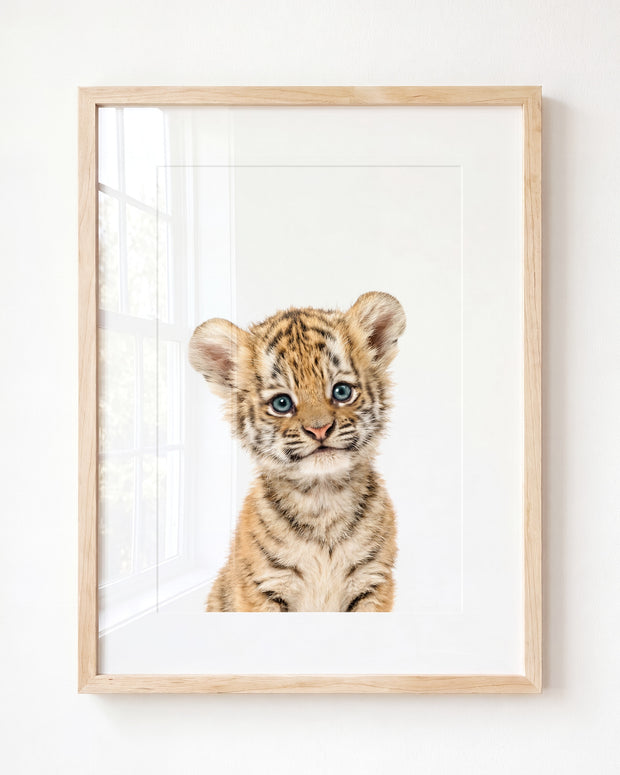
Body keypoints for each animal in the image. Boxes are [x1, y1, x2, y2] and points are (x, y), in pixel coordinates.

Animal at [188, 291, 406, 612]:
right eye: (282, 403)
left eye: (342, 391)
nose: (320, 429)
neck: (323, 500)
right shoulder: (263, 588)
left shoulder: (373, 582)